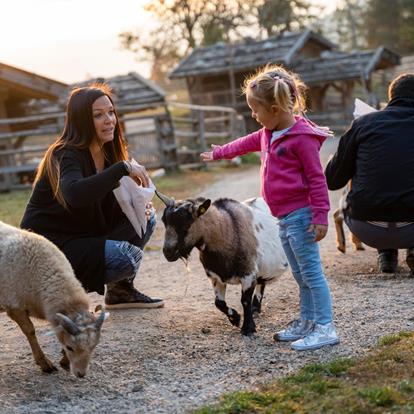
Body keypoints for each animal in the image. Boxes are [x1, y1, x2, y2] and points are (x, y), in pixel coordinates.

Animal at [0, 222, 103, 376]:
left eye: (94, 346)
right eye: (70, 347)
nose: (80, 374)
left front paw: (64, 361)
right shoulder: (14, 306)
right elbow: (30, 331)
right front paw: (44, 363)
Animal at [157, 194, 290, 336]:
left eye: (187, 223)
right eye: (164, 221)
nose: (168, 252)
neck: (229, 230)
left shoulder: (248, 274)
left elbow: (244, 301)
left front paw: (248, 328)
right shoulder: (215, 277)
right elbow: (219, 303)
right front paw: (235, 318)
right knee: (262, 283)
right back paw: (255, 308)